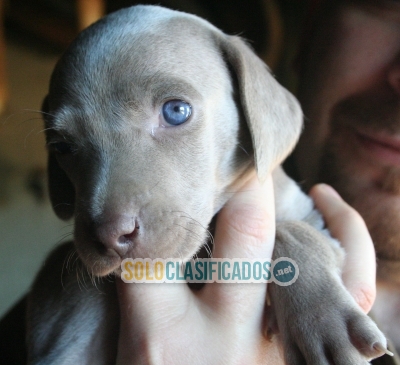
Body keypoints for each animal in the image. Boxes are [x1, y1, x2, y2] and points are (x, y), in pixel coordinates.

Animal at [28, 5, 390, 364]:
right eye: (61, 146)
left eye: (176, 111)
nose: (109, 236)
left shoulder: (311, 217)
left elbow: (293, 231)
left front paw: (323, 322)